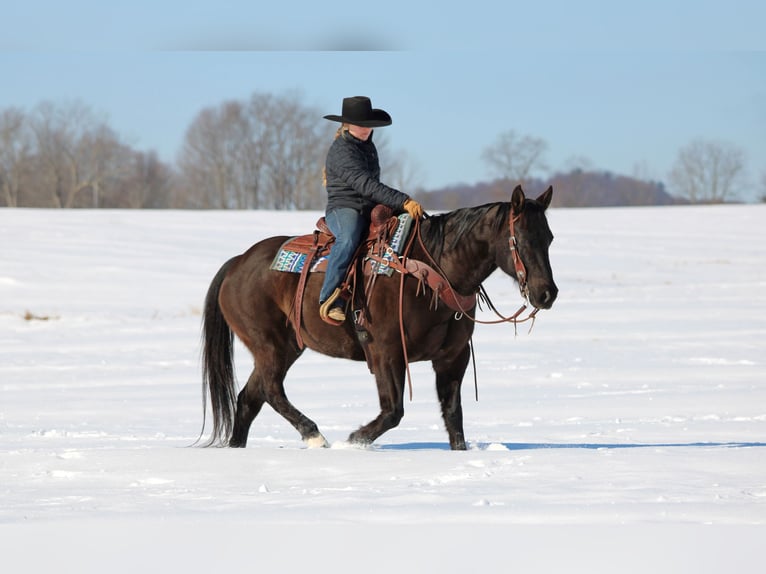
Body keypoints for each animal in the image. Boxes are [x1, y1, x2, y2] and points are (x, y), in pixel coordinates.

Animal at [201, 185, 557, 450]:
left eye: (549, 238)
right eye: (520, 238)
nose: (546, 294)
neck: (433, 270)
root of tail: (237, 263)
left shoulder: (452, 358)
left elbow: (454, 417)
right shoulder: (386, 352)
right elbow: (393, 411)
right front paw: (354, 441)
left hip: (287, 347)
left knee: (250, 397)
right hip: (269, 346)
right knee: (271, 390)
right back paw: (314, 435)